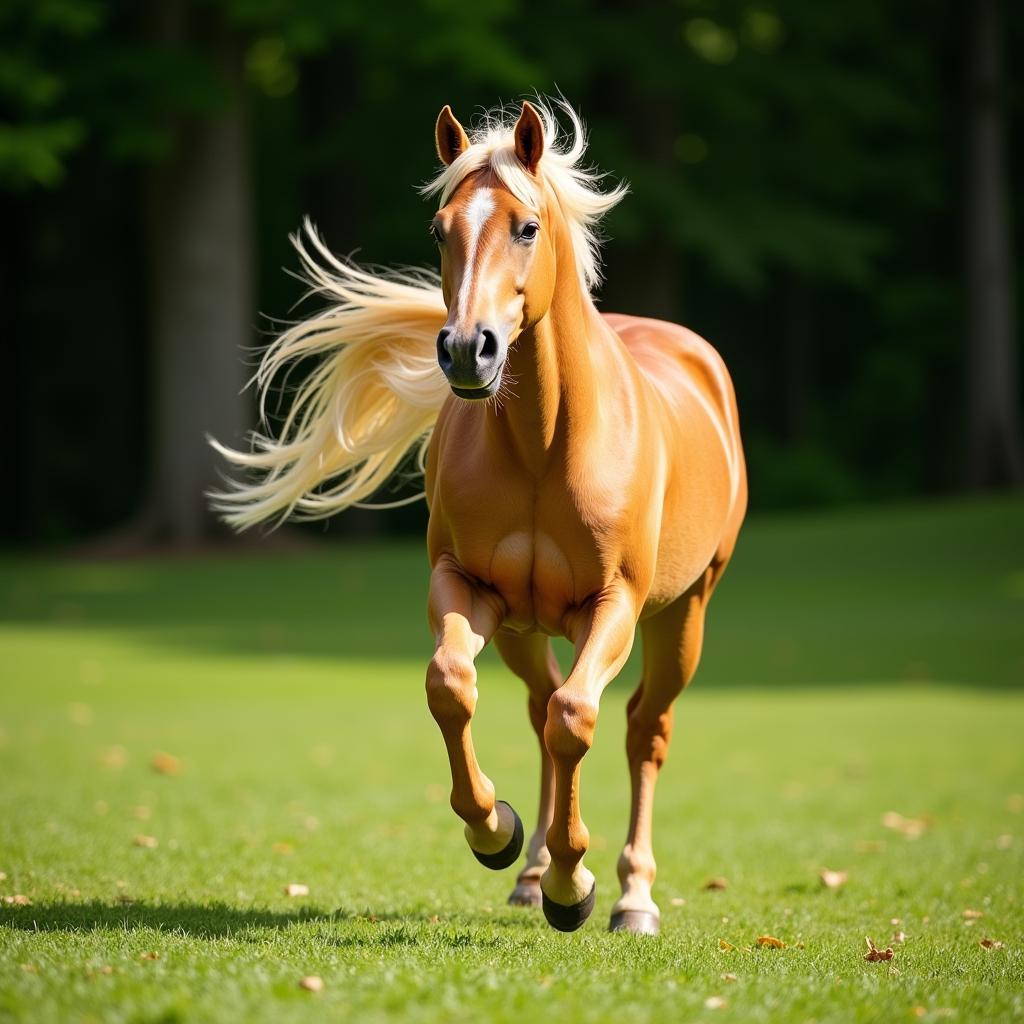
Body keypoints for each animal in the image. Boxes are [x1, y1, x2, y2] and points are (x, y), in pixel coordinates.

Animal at [214, 97, 745, 937]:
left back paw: (632, 897)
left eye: (526, 226)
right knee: (539, 710)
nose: (469, 350)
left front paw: (575, 883)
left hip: (682, 614)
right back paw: (530, 876)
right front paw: (500, 833)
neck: (544, 446)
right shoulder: (467, 587)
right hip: (531, 629)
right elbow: (452, 685)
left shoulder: (615, 605)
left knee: (639, 731)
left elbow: (577, 718)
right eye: (440, 230)